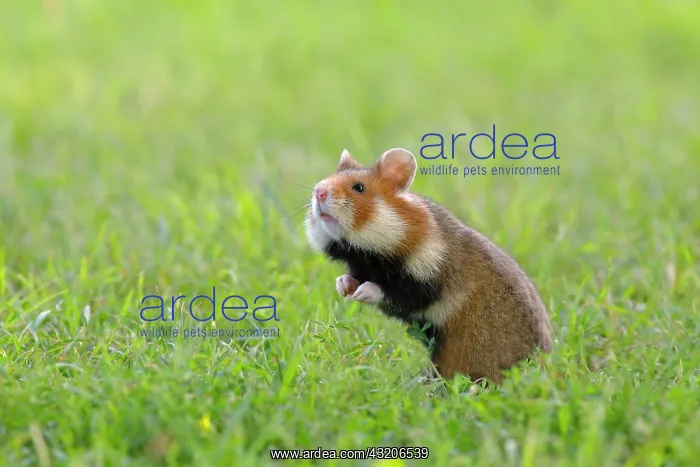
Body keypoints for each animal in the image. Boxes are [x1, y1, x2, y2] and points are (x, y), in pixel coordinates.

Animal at [304, 147, 553, 384]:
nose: (318, 191)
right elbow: (352, 277)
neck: (368, 254)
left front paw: (362, 292)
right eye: (329, 178)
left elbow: (396, 292)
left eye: (359, 187)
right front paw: (344, 286)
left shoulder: (429, 278)